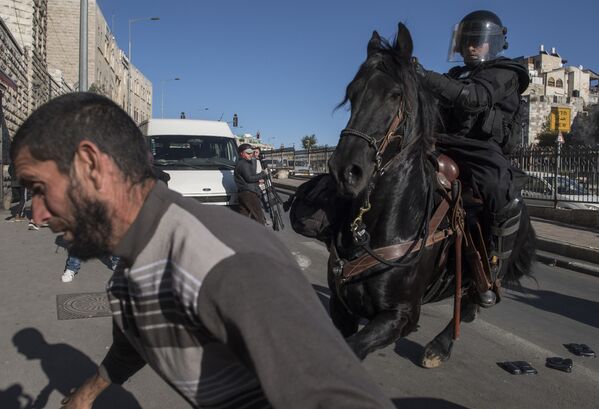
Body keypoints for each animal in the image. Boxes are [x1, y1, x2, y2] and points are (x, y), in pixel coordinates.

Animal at [326, 22, 536, 366]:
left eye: (395, 95)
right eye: (352, 93)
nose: (346, 170)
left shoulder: (399, 316)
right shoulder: (340, 308)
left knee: (475, 298)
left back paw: (441, 345)